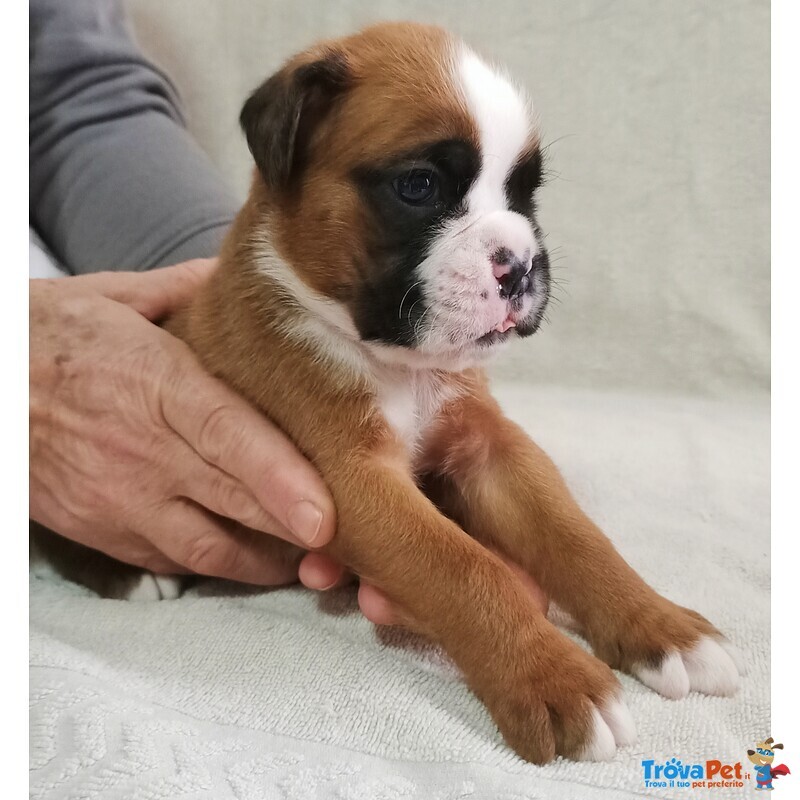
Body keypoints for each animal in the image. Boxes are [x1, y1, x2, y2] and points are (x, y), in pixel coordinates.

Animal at [31, 21, 744, 764]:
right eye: (419, 185)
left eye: (525, 194)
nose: (521, 264)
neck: (397, 364)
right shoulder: (356, 486)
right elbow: (467, 570)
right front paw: (556, 679)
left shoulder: (491, 450)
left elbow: (577, 537)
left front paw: (662, 626)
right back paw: (127, 574)